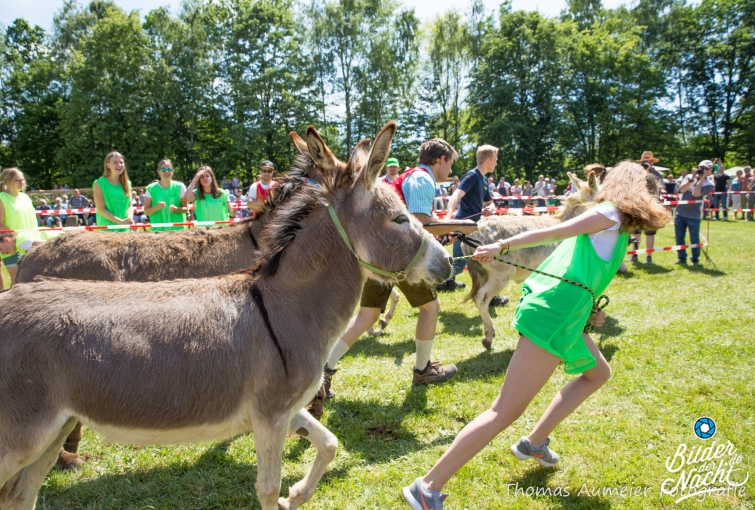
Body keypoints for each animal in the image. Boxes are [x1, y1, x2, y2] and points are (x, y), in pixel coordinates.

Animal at [0, 121, 452, 510]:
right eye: (399, 218)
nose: (448, 263)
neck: (284, 304)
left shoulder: (284, 410)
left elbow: (329, 444)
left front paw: (297, 495)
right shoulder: (270, 416)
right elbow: (268, 488)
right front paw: (285, 496)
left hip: (52, 432)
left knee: (20, 495)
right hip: (21, 437)